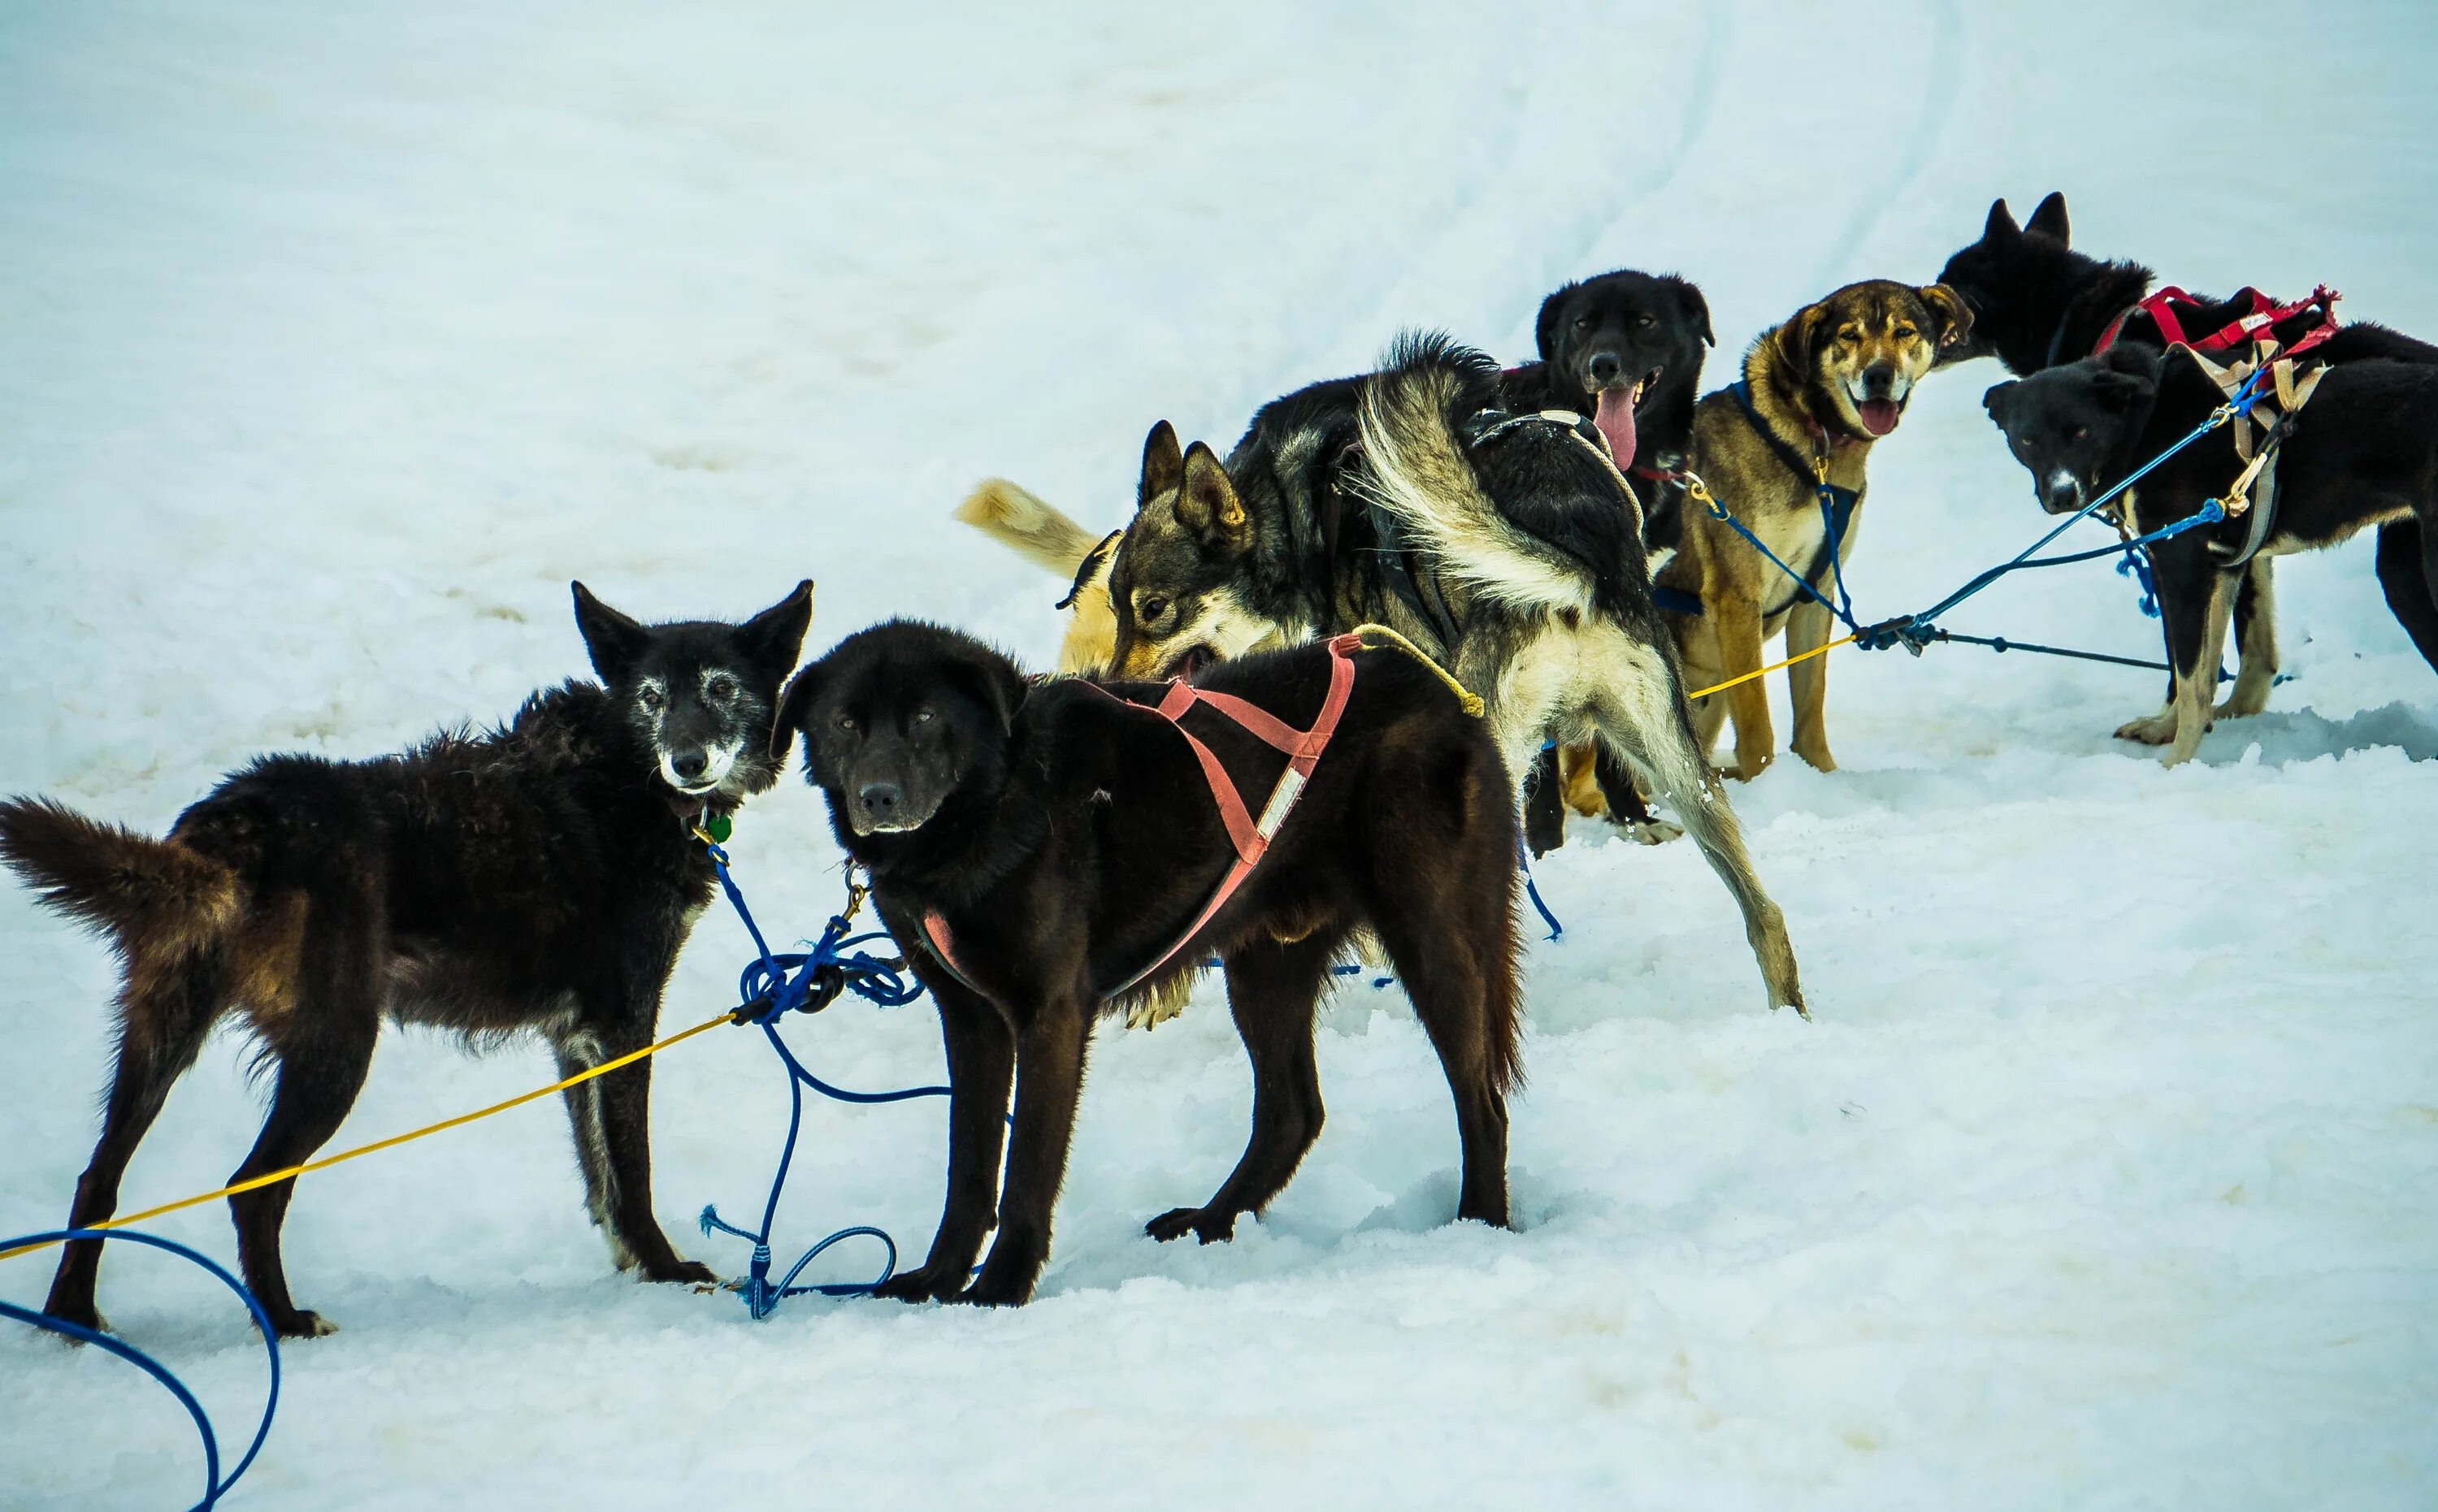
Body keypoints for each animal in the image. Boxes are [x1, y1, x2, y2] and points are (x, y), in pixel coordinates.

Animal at [0, 578, 819, 1336]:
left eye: (721, 688)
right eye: (653, 697)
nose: (687, 759)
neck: (626, 777)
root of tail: (238, 824)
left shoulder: (575, 1041)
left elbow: (600, 1176)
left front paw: (630, 1267)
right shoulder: (623, 1026)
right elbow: (633, 1172)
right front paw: (667, 1270)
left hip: (160, 1040)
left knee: (98, 1176)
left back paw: (72, 1317)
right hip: (335, 1050)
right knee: (250, 1186)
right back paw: (285, 1321)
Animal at [775, 619, 1521, 1306]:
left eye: (926, 717)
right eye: (844, 723)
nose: (877, 797)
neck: (997, 804)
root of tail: (1442, 690)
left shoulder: (1051, 1015)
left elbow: (1027, 1168)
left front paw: (1000, 1289)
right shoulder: (971, 1018)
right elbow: (970, 1168)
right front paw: (937, 1280)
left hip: (1432, 938)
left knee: (1481, 1098)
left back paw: (1479, 1224)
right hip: (1265, 966)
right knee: (1294, 1111)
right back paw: (1212, 1222)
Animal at [1658, 280, 1980, 780]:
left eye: (1905, 331)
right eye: (1848, 336)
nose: (1879, 375)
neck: (1816, 445)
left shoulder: (1816, 592)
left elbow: (1810, 709)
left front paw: (1822, 776)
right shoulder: (1737, 596)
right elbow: (1758, 725)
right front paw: (1764, 781)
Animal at [1989, 344, 2428, 765]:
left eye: (2081, 432)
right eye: (2027, 440)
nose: (2062, 495)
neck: (2151, 424)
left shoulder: (2181, 568)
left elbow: (2187, 678)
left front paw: (2175, 765)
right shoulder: (2221, 569)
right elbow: (2203, 674)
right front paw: (2166, 730)